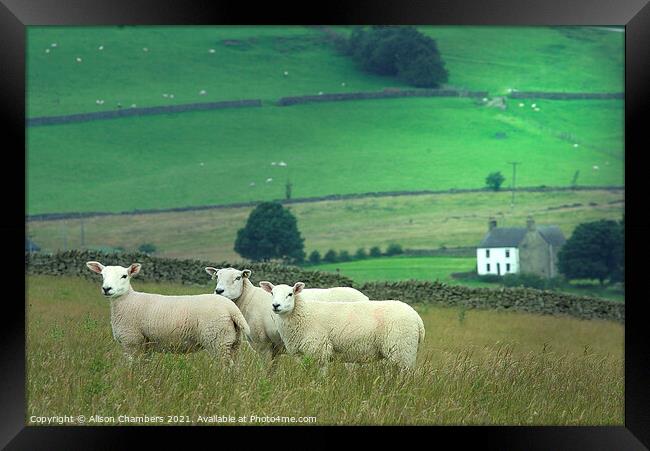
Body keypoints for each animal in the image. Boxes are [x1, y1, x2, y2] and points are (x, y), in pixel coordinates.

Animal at [86, 262, 248, 364]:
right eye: (102, 275)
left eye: (124, 276)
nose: (107, 289)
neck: (127, 300)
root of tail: (232, 309)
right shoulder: (146, 346)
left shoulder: (131, 342)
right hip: (233, 343)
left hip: (217, 340)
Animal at [206, 268, 370, 360]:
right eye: (217, 276)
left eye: (238, 277)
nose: (219, 291)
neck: (249, 299)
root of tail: (365, 298)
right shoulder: (274, 348)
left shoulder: (264, 345)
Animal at [258, 282, 426, 370]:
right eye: (272, 293)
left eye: (290, 294)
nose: (275, 305)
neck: (303, 314)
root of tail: (418, 319)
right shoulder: (303, 355)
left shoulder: (319, 351)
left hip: (403, 351)